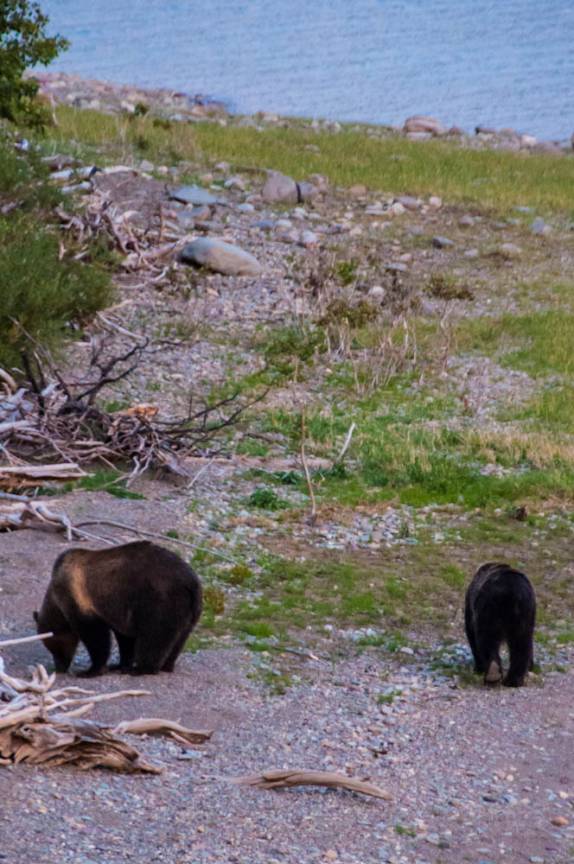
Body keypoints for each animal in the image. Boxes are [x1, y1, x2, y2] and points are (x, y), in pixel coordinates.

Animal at [34, 541, 202, 677]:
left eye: (54, 647)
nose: (59, 668)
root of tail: (191, 583)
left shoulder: (81, 600)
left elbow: (96, 636)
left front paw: (91, 670)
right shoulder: (119, 612)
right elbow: (125, 638)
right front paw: (119, 664)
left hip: (160, 600)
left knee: (155, 636)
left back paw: (142, 669)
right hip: (189, 611)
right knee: (179, 638)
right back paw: (167, 665)